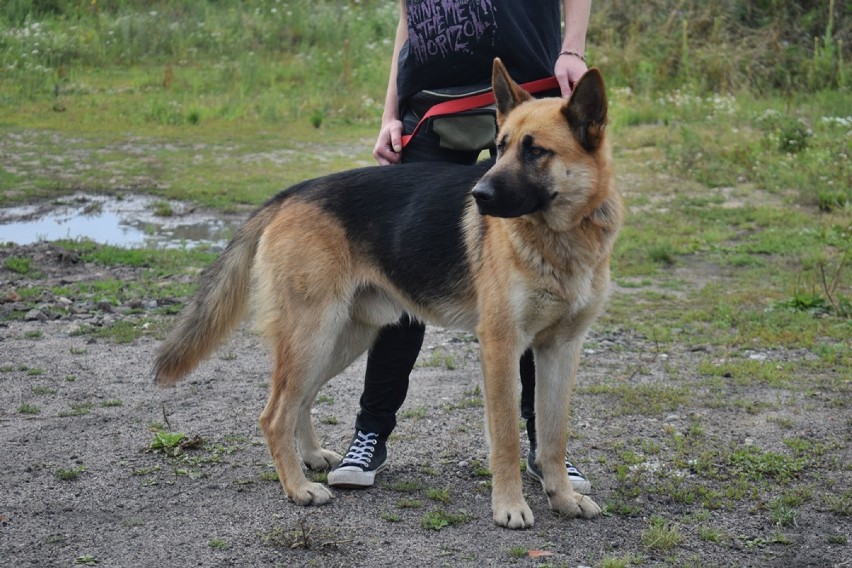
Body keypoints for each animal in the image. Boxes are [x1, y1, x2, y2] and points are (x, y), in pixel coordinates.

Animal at [155, 60, 620, 532]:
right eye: (501, 147)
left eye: (535, 151)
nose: (479, 196)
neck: (561, 238)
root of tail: (291, 194)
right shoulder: (501, 347)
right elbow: (507, 436)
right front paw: (509, 505)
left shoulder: (560, 349)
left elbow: (553, 435)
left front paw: (563, 497)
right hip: (313, 336)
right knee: (274, 414)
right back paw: (298, 488)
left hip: (342, 340)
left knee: (299, 401)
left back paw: (311, 458)